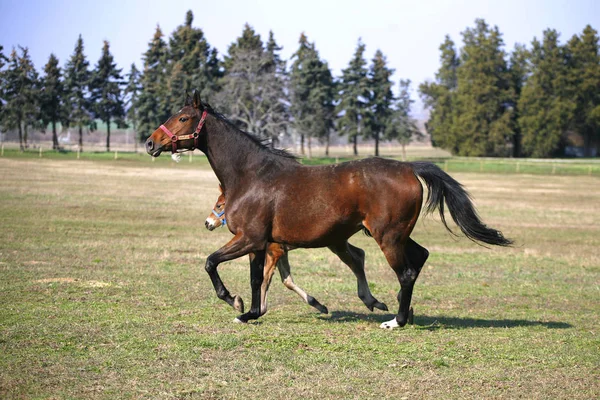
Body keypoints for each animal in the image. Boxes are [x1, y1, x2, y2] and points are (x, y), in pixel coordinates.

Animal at [145, 91, 510, 328]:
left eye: (183, 118)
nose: (150, 143)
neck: (252, 175)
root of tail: (408, 167)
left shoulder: (250, 239)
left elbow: (211, 263)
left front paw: (233, 300)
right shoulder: (261, 244)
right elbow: (256, 279)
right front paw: (249, 312)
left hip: (388, 238)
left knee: (406, 272)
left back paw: (396, 320)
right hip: (396, 235)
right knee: (420, 257)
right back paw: (398, 309)